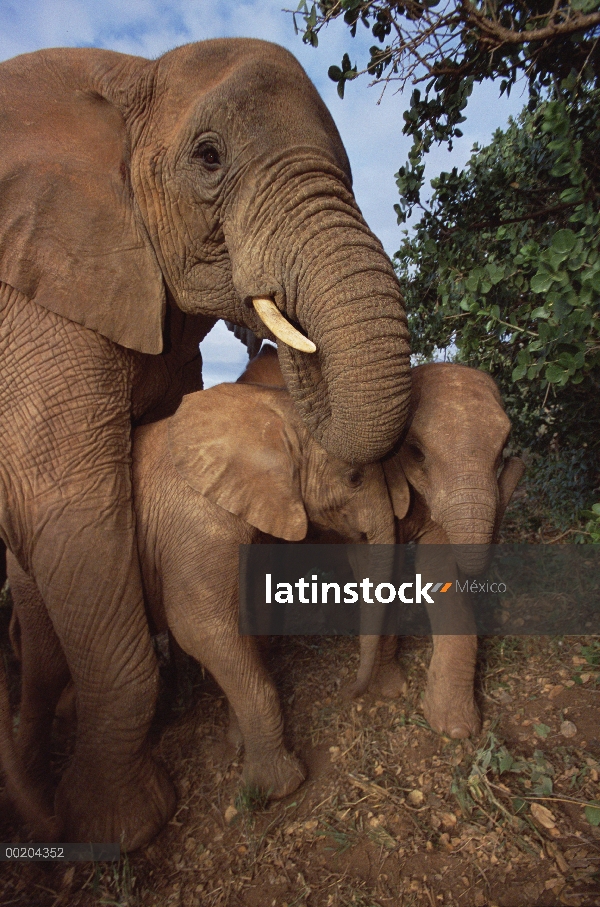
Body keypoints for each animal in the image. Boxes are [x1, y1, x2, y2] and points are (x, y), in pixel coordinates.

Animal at [0, 39, 410, 848]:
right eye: (209, 157)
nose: (361, 694)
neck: (129, 75)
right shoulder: (35, 297)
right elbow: (72, 505)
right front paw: (125, 828)